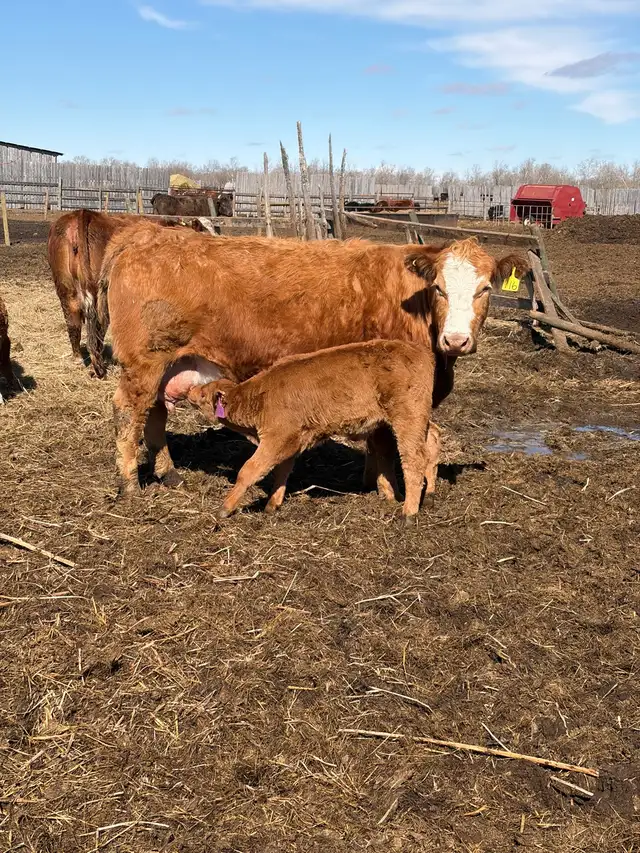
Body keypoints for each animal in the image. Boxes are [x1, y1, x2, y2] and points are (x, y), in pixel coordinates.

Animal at [97, 227, 528, 496]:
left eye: (485, 289)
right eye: (439, 288)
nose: (456, 339)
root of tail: (144, 236)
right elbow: (384, 442)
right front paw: (384, 487)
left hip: (165, 363)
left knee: (154, 412)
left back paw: (168, 473)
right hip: (144, 361)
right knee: (128, 412)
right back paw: (129, 484)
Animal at [186, 340, 441, 521]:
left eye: (203, 394)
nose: (189, 391)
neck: (260, 396)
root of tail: (419, 350)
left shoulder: (276, 439)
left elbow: (249, 470)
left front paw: (224, 508)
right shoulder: (291, 442)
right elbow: (282, 470)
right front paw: (272, 505)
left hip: (407, 418)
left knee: (414, 458)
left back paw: (408, 513)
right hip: (417, 420)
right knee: (433, 440)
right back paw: (428, 495)